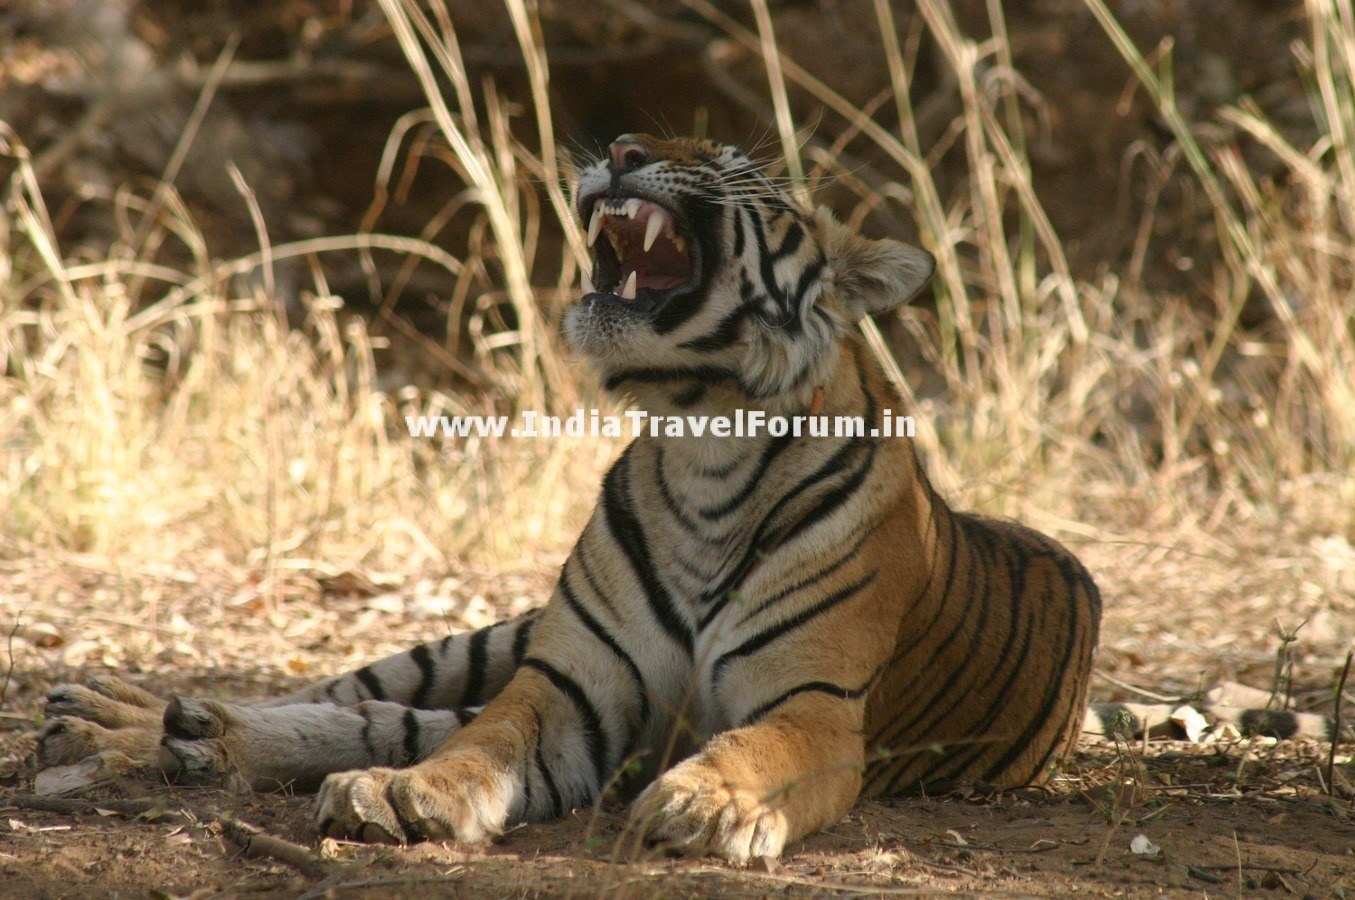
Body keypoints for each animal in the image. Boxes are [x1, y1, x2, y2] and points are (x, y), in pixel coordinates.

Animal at [34, 135, 1344, 867]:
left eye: (735, 171)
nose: (616, 148)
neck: (703, 431)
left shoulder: (816, 705)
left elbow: (754, 745)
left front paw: (707, 803)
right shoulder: (564, 682)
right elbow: (478, 744)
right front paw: (414, 801)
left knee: (383, 716)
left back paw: (163, 736)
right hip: (498, 636)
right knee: (364, 703)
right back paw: (122, 721)